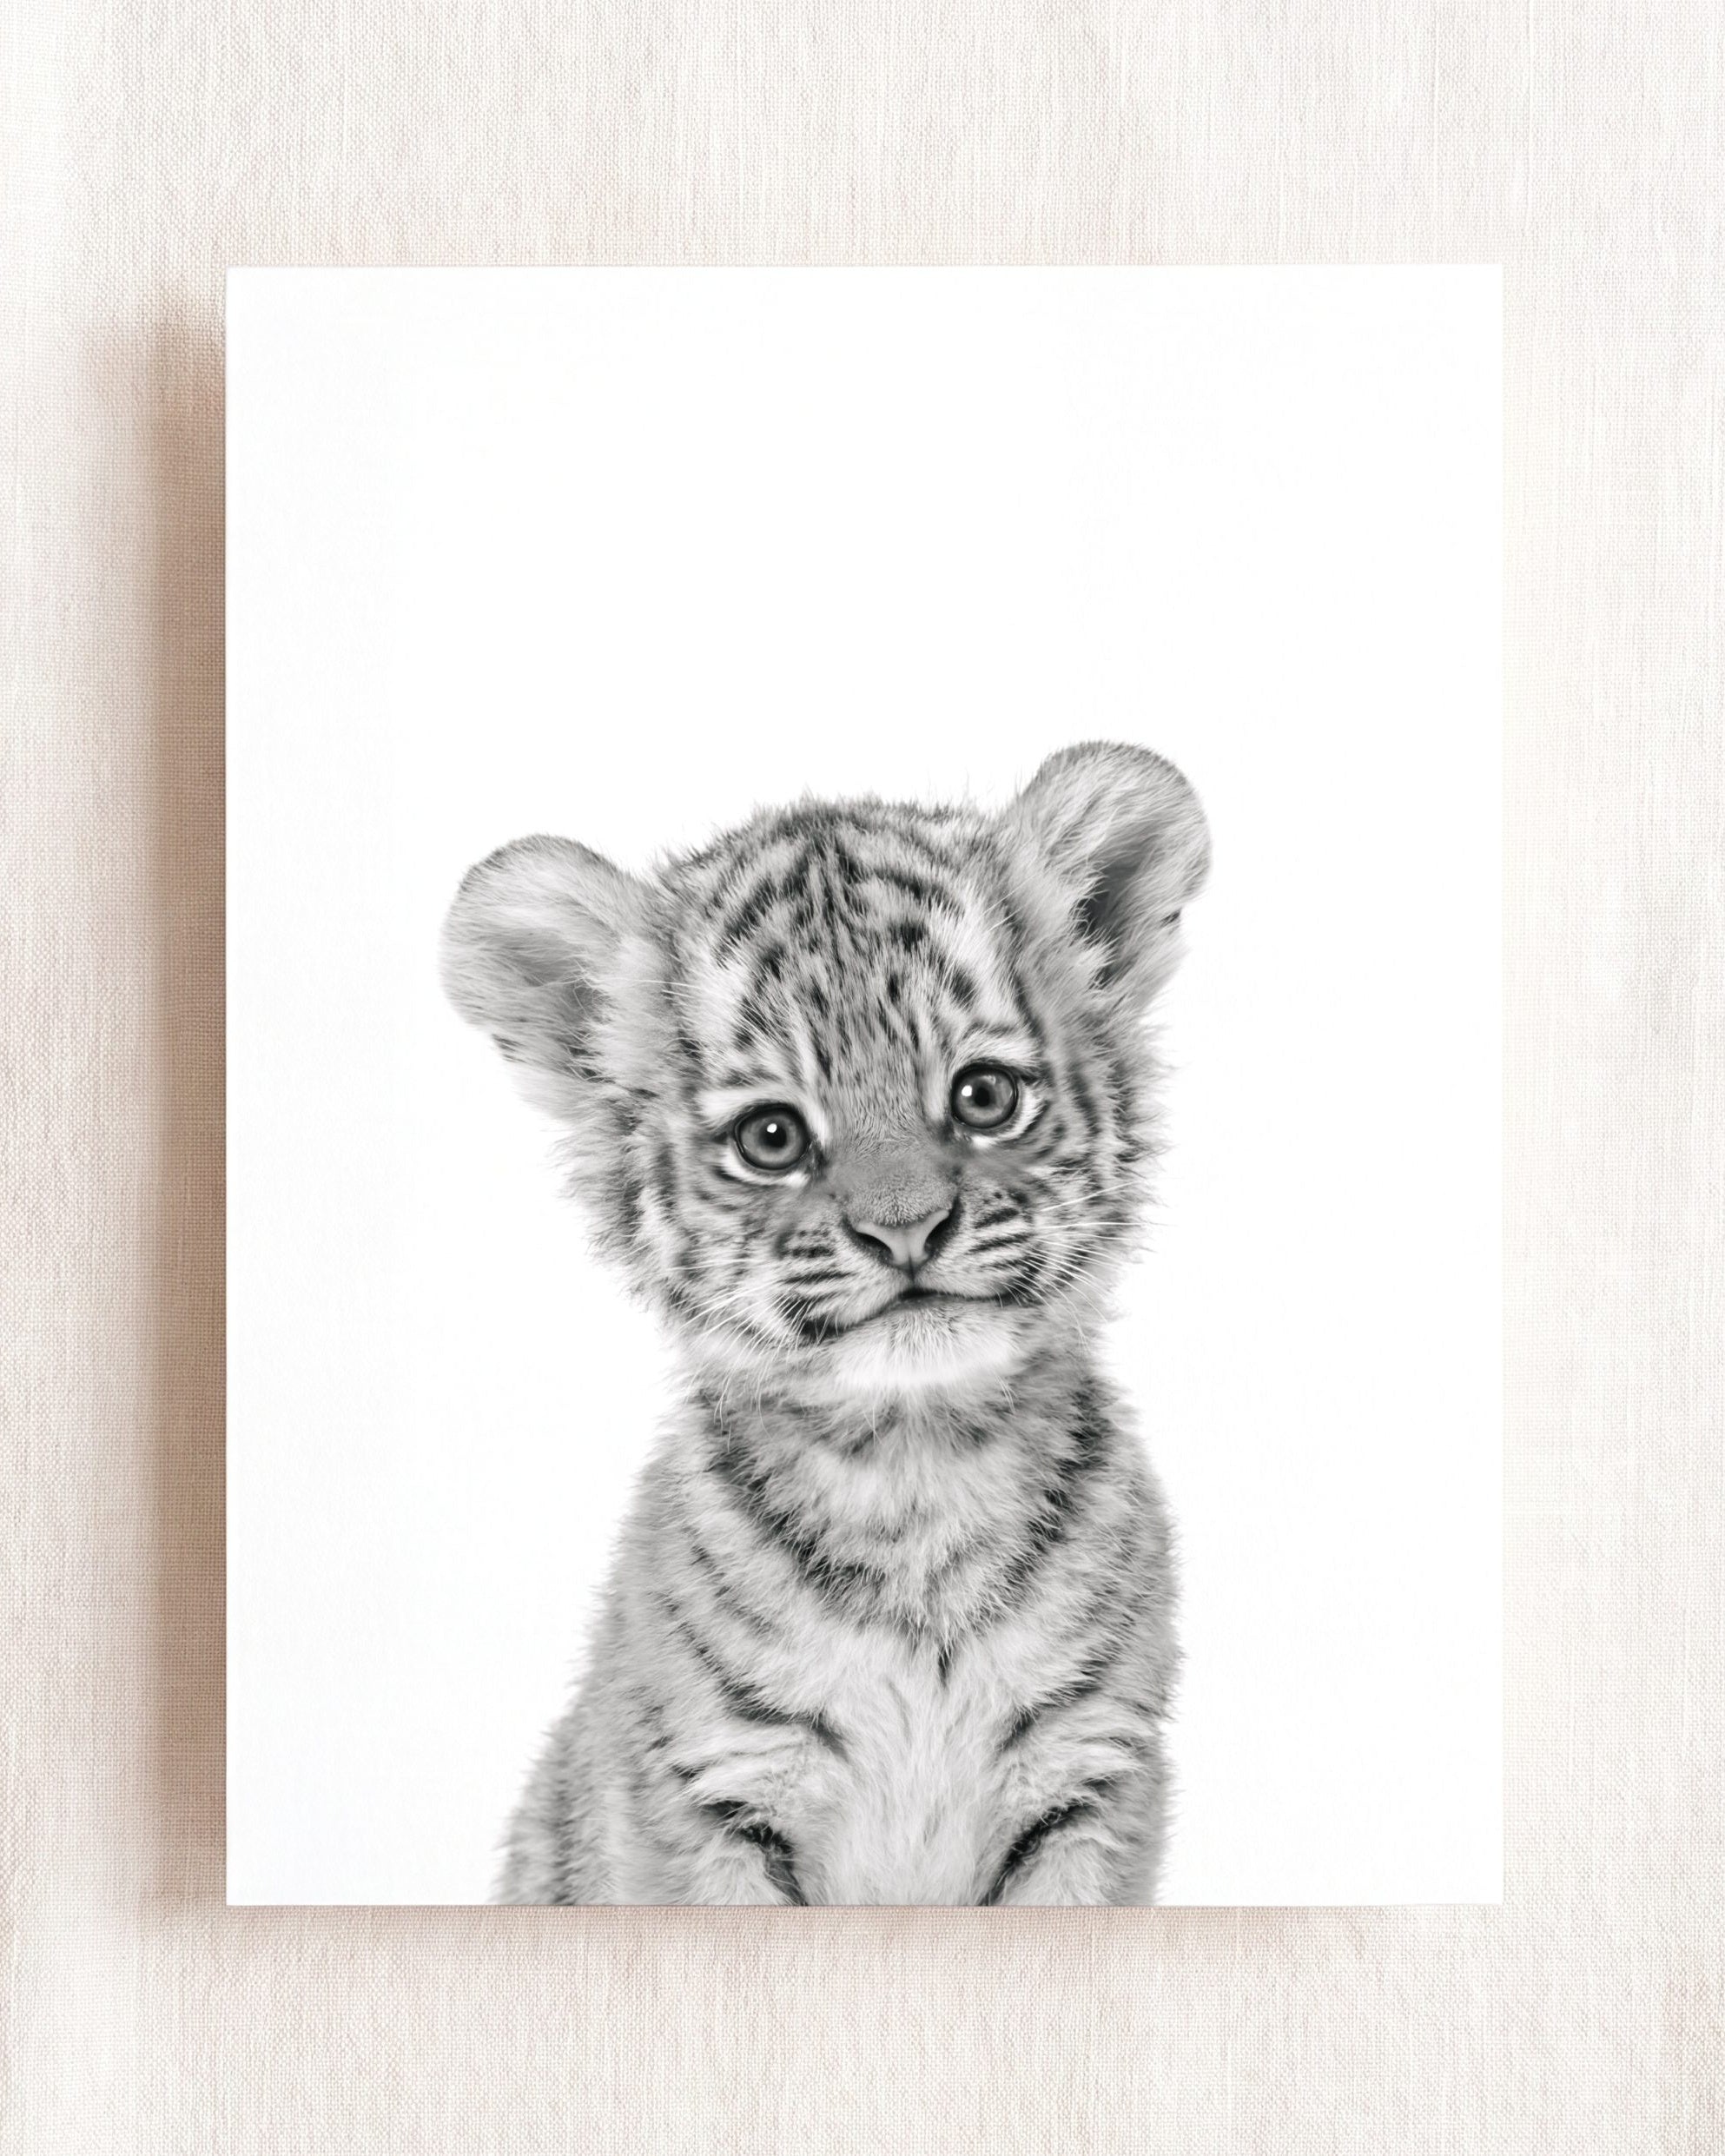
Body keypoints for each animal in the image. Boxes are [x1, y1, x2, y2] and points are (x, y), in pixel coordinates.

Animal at [442, 740, 1210, 1905]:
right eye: (772, 1137)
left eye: (984, 1096)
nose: (906, 1229)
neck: (917, 1476)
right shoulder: (706, 1796)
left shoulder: (1090, 1778)